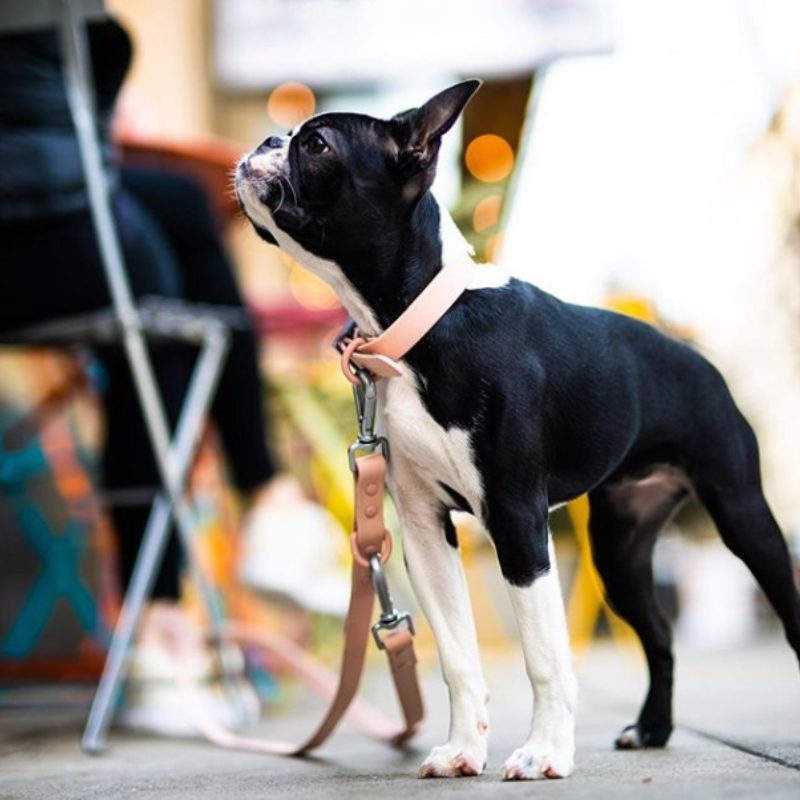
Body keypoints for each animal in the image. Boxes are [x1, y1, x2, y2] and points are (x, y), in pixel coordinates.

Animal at [236, 78, 800, 780]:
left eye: (316, 144)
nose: (265, 136)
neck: (420, 325)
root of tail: (696, 355)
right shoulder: (423, 527)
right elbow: (457, 656)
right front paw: (462, 750)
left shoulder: (517, 518)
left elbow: (544, 657)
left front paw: (545, 753)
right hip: (619, 548)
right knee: (661, 635)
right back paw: (653, 728)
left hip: (743, 513)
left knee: (783, 610)